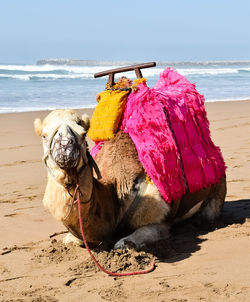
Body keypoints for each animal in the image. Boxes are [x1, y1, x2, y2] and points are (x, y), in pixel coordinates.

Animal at [33, 109, 227, 249]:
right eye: (44, 135)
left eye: (82, 134)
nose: (65, 149)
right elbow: (70, 239)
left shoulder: (159, 219)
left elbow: (126, 242)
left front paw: (125, 242)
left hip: (218, 189)